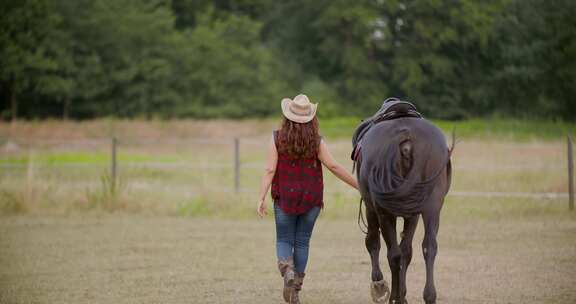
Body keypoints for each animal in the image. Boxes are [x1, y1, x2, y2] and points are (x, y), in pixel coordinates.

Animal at [352, 98, 454, 302]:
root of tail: (407, 142)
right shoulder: (413, 215)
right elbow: (407, 251)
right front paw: (402, 293)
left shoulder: (372, 208)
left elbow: (375, 243)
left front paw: (381, 286)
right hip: (432, 207)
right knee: (429, 247)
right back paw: (429, 296)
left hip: (384, 212)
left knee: (393, 254)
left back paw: (395, 297)